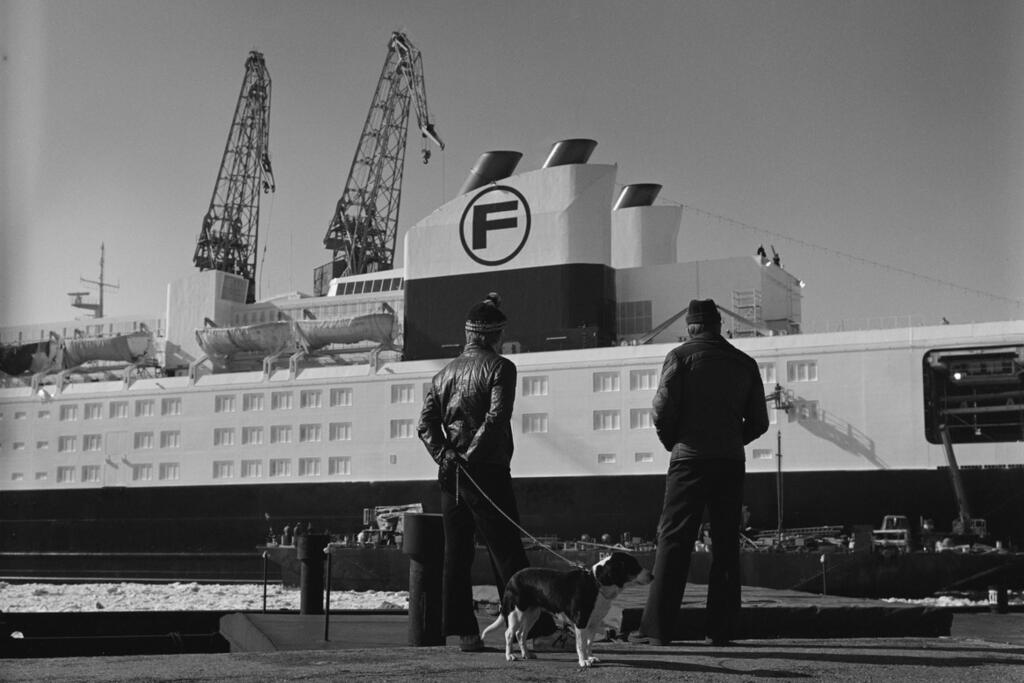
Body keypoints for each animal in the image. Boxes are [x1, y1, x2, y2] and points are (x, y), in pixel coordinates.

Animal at [481, 548, 655, 667]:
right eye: (635, 566)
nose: (652, 576)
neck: (596, 583)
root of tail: (512, 578)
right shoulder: (581, 621)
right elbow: (581, 644)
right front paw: (583, 661)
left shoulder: (594, 622)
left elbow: (589, 643)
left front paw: (590, 657)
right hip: (516, 612)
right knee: (509, 633)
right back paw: (510, 656)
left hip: (532, 613)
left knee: (521, 634)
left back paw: (527, 654)